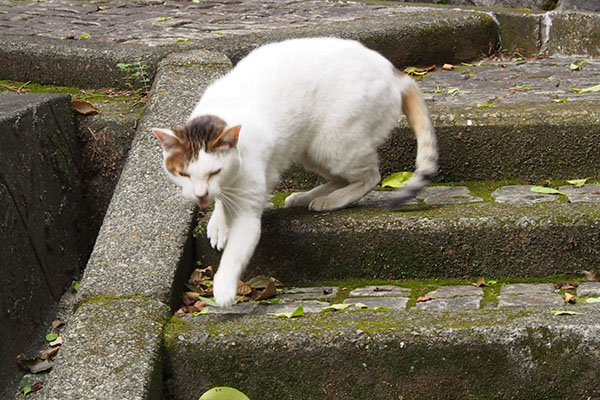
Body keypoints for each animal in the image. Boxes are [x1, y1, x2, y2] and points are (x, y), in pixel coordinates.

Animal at [154, 36, 436, 306]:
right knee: (340, 177)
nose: (200, 195)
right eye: (184, 174)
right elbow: (223, 203)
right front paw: (219, 224)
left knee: (370, 176)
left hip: (334, 144)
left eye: (214, 171)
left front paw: (222, 289)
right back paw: (307, 197)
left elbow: (234, 253)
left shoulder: (247, 209)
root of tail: (391, 70)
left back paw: (331, 201)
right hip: (311, 151)